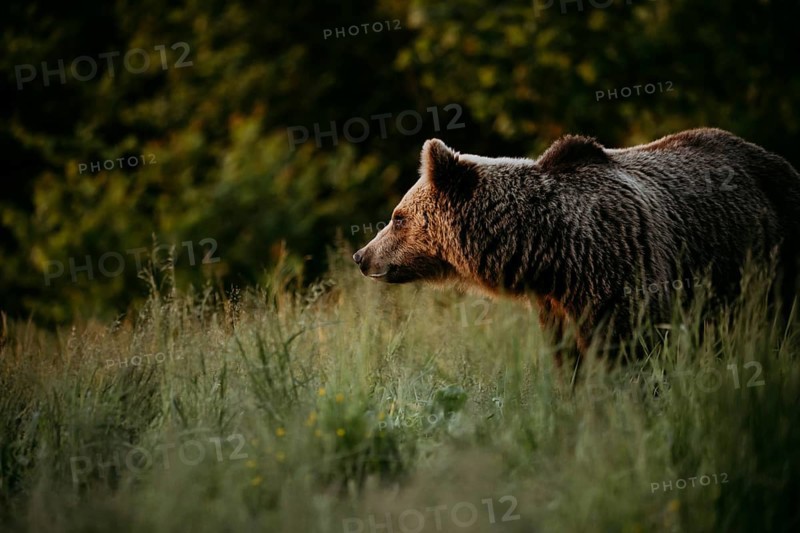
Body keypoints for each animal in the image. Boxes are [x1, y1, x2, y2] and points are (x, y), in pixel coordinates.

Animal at [352, 128, 800, 356]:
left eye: (397, 217)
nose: (361, 255)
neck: (551, 253)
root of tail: (779, 160)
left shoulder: (622, 273)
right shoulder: (557, 306)